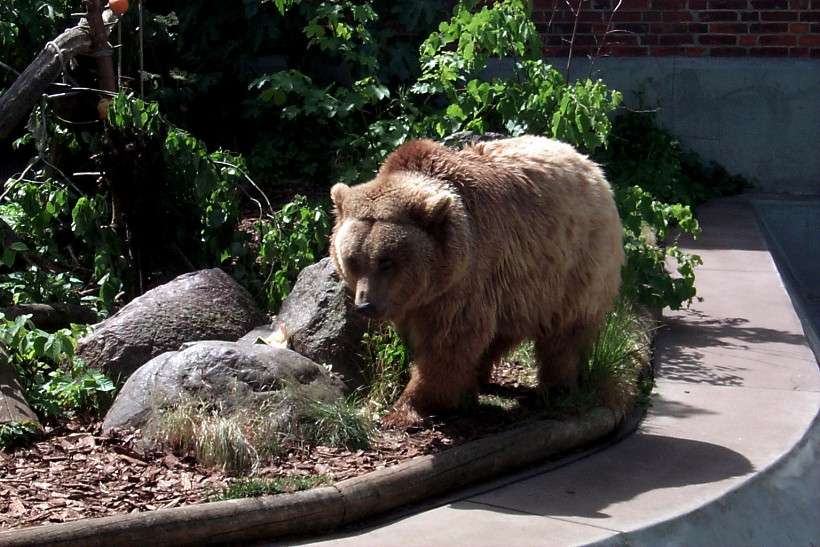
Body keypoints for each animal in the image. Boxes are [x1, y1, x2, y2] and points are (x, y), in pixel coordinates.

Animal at [330, 137, 624, 428]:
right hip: (519, 290)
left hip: (575, 265)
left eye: (386, 261)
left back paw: (557, 387)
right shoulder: (424, 297)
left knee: (565, 333)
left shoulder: (467, 278)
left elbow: (449, 341)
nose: (365, 305)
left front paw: (408, 406)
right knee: (501, 333)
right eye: (352, 259)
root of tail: (590, 166)